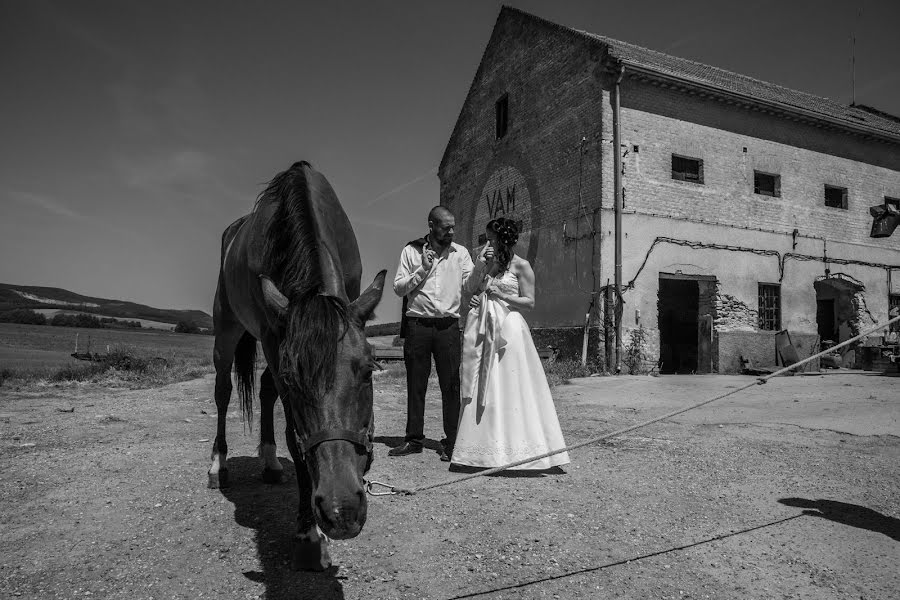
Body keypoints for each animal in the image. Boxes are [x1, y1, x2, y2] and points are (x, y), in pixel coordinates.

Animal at [207, 161, 386, 572]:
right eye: (293, 380)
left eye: (369, 370)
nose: (341, 510)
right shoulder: (274, 339)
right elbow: (294, 435)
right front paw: (309, 535)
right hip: (227, 327)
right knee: (223, 391)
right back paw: (218, 465)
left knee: (262, 389)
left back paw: (270, 462)